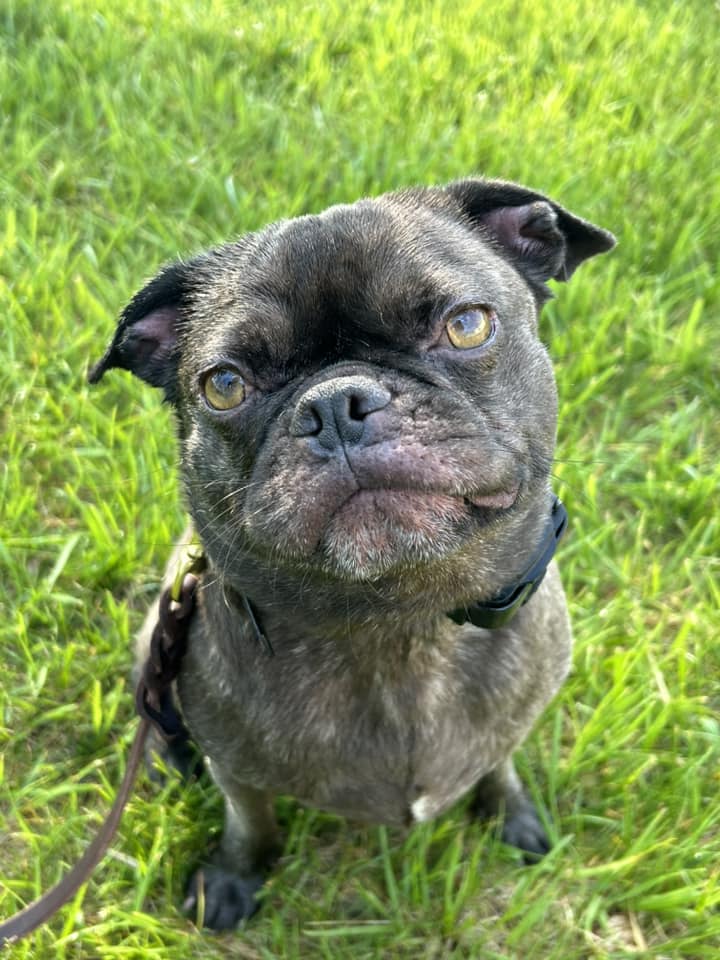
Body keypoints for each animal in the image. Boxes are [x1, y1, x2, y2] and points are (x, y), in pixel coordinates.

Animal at [90, 178, 614, 929]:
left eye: (467, 324)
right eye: (224, 385)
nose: (336, 404)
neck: (397, 622)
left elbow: (499, 763)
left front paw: (511, 816)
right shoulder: (237, 774)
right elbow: (251, 824)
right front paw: (233, 880)